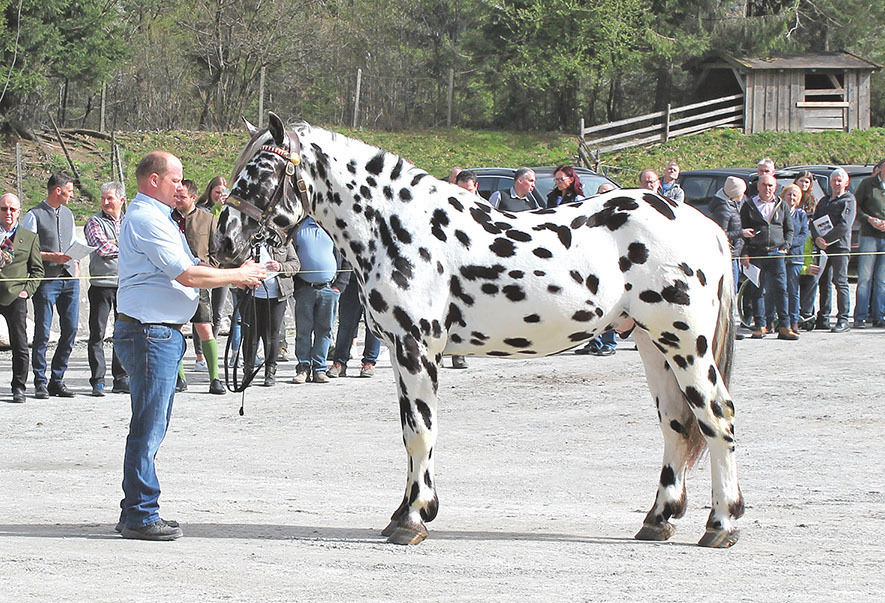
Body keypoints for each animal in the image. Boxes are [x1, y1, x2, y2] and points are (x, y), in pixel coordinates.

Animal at [216, 112, 744, 548]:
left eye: (261, 171)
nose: (224, 240)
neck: (399, 227)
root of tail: (701, 224)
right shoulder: (399, 352)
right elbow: (409, 431)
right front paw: (403, 512)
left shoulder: (417, 349)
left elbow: (420, 433)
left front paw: (414, 519)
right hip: (653, 345)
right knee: (675, 424)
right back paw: (658, 520)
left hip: (686, 345)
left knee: (717, 417)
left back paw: (722, 525)